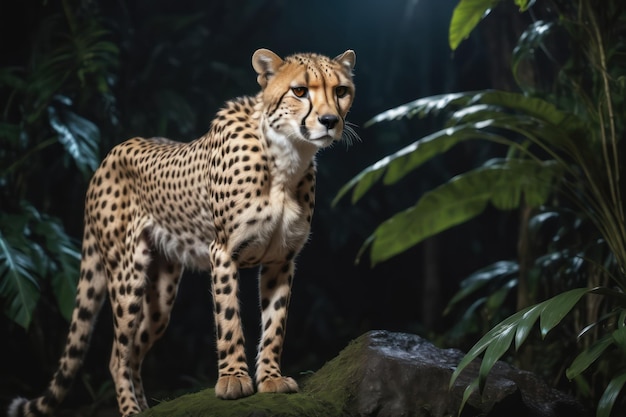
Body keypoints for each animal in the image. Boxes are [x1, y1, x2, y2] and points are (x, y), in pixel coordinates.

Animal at [8, 47, 356, 414]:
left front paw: (271, 378)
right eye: (299, 91)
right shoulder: (223, 253)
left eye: (341, 91)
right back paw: (130, 409)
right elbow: (229, 319)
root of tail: (107, 156)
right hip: (127, 276)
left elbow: (276, 323)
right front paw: (233, 380)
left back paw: (146, 407)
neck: (286, 157)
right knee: (117, 356)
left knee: (133, 351)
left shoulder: (281, 260)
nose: (330, 121)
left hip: (161, 296)